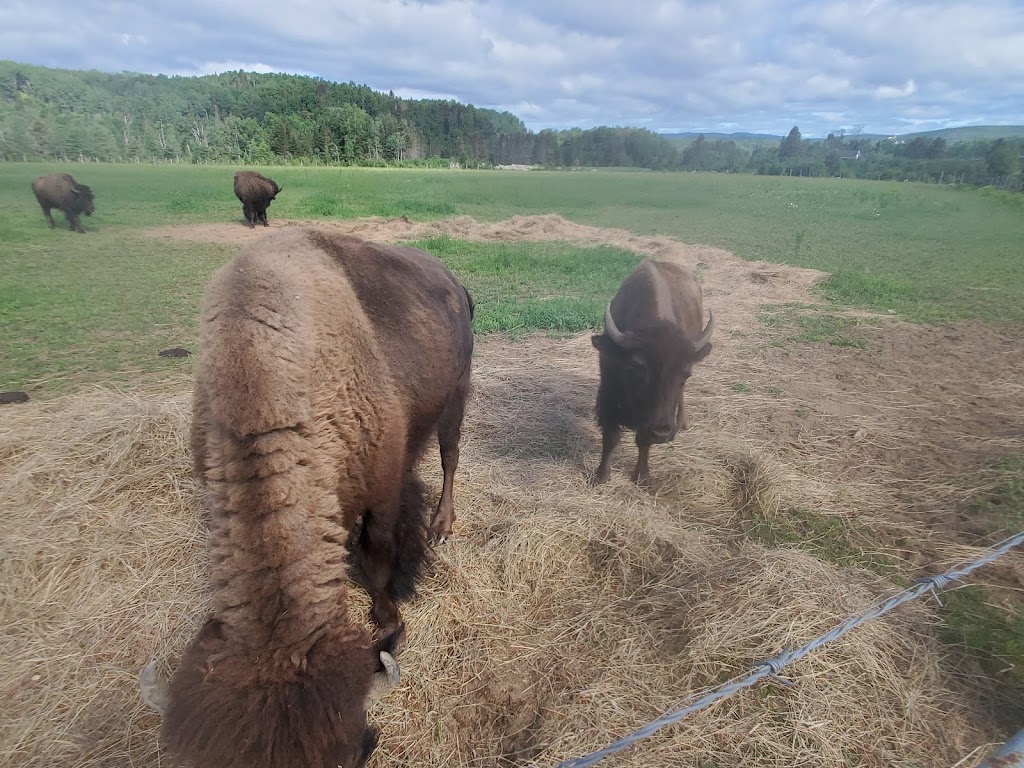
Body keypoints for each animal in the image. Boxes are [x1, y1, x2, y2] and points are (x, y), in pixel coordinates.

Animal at [139, 227, 475, 768]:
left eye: (356, 753)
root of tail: (450, 281)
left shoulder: (381, 488)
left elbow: (377, 558)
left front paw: (388, 619)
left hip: (457, 396)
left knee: (450, 457)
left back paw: (441, 525)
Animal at [589, 259, 716, 487]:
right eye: (636, 367)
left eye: (685, 374)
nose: (662, 432)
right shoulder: (609, 395)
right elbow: (610, 438)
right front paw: (601, 476)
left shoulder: (647, 420)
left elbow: (643, 442)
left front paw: (642, 476)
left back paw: (682, 422)